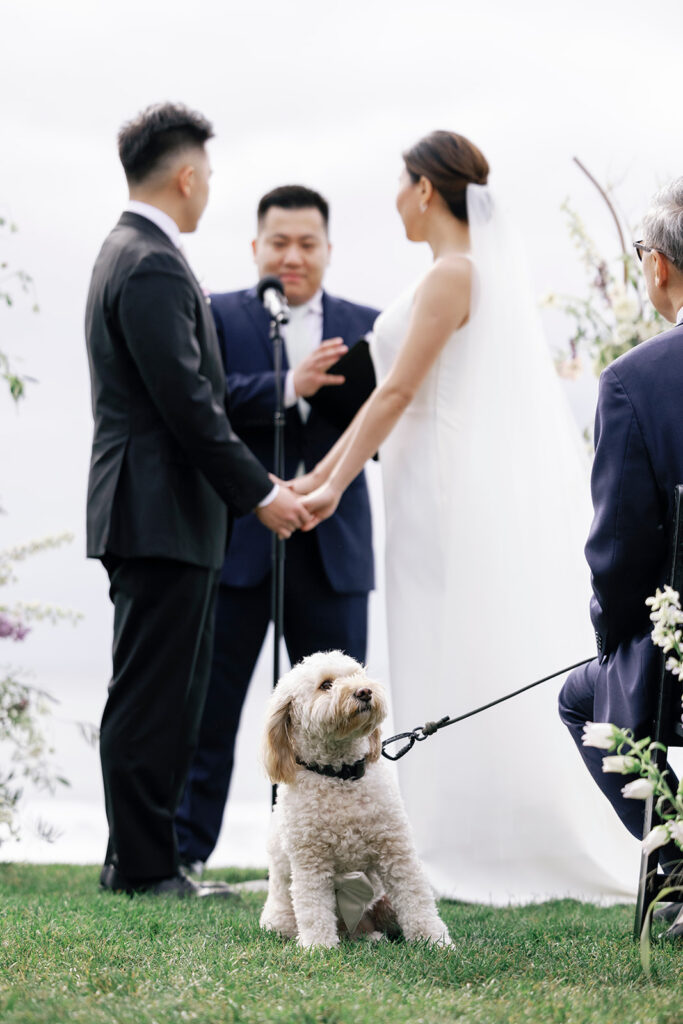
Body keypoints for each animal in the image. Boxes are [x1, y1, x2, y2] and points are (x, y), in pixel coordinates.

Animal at [259, 651, 450, 946]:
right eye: (326, 685)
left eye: (357, 675)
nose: (364, 691)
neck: (341, 775)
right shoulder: (310, 862)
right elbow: (313, 908)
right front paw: (318, 947)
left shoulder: (396, 850)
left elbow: (417, 897)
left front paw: (434, 941)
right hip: (279, 921)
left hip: (384, 901)